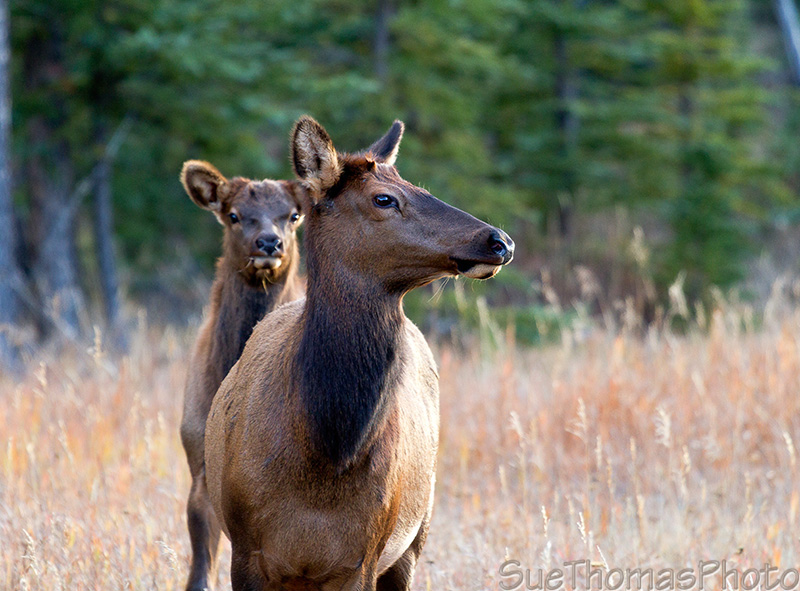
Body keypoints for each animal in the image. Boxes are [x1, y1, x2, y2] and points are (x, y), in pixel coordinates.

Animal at [203, 117, 514, 591]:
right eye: (384, 198)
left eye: (415, 185)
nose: (499, 241)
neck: (325, 452)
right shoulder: (246, 551)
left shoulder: (363, 558)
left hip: (415, 537)